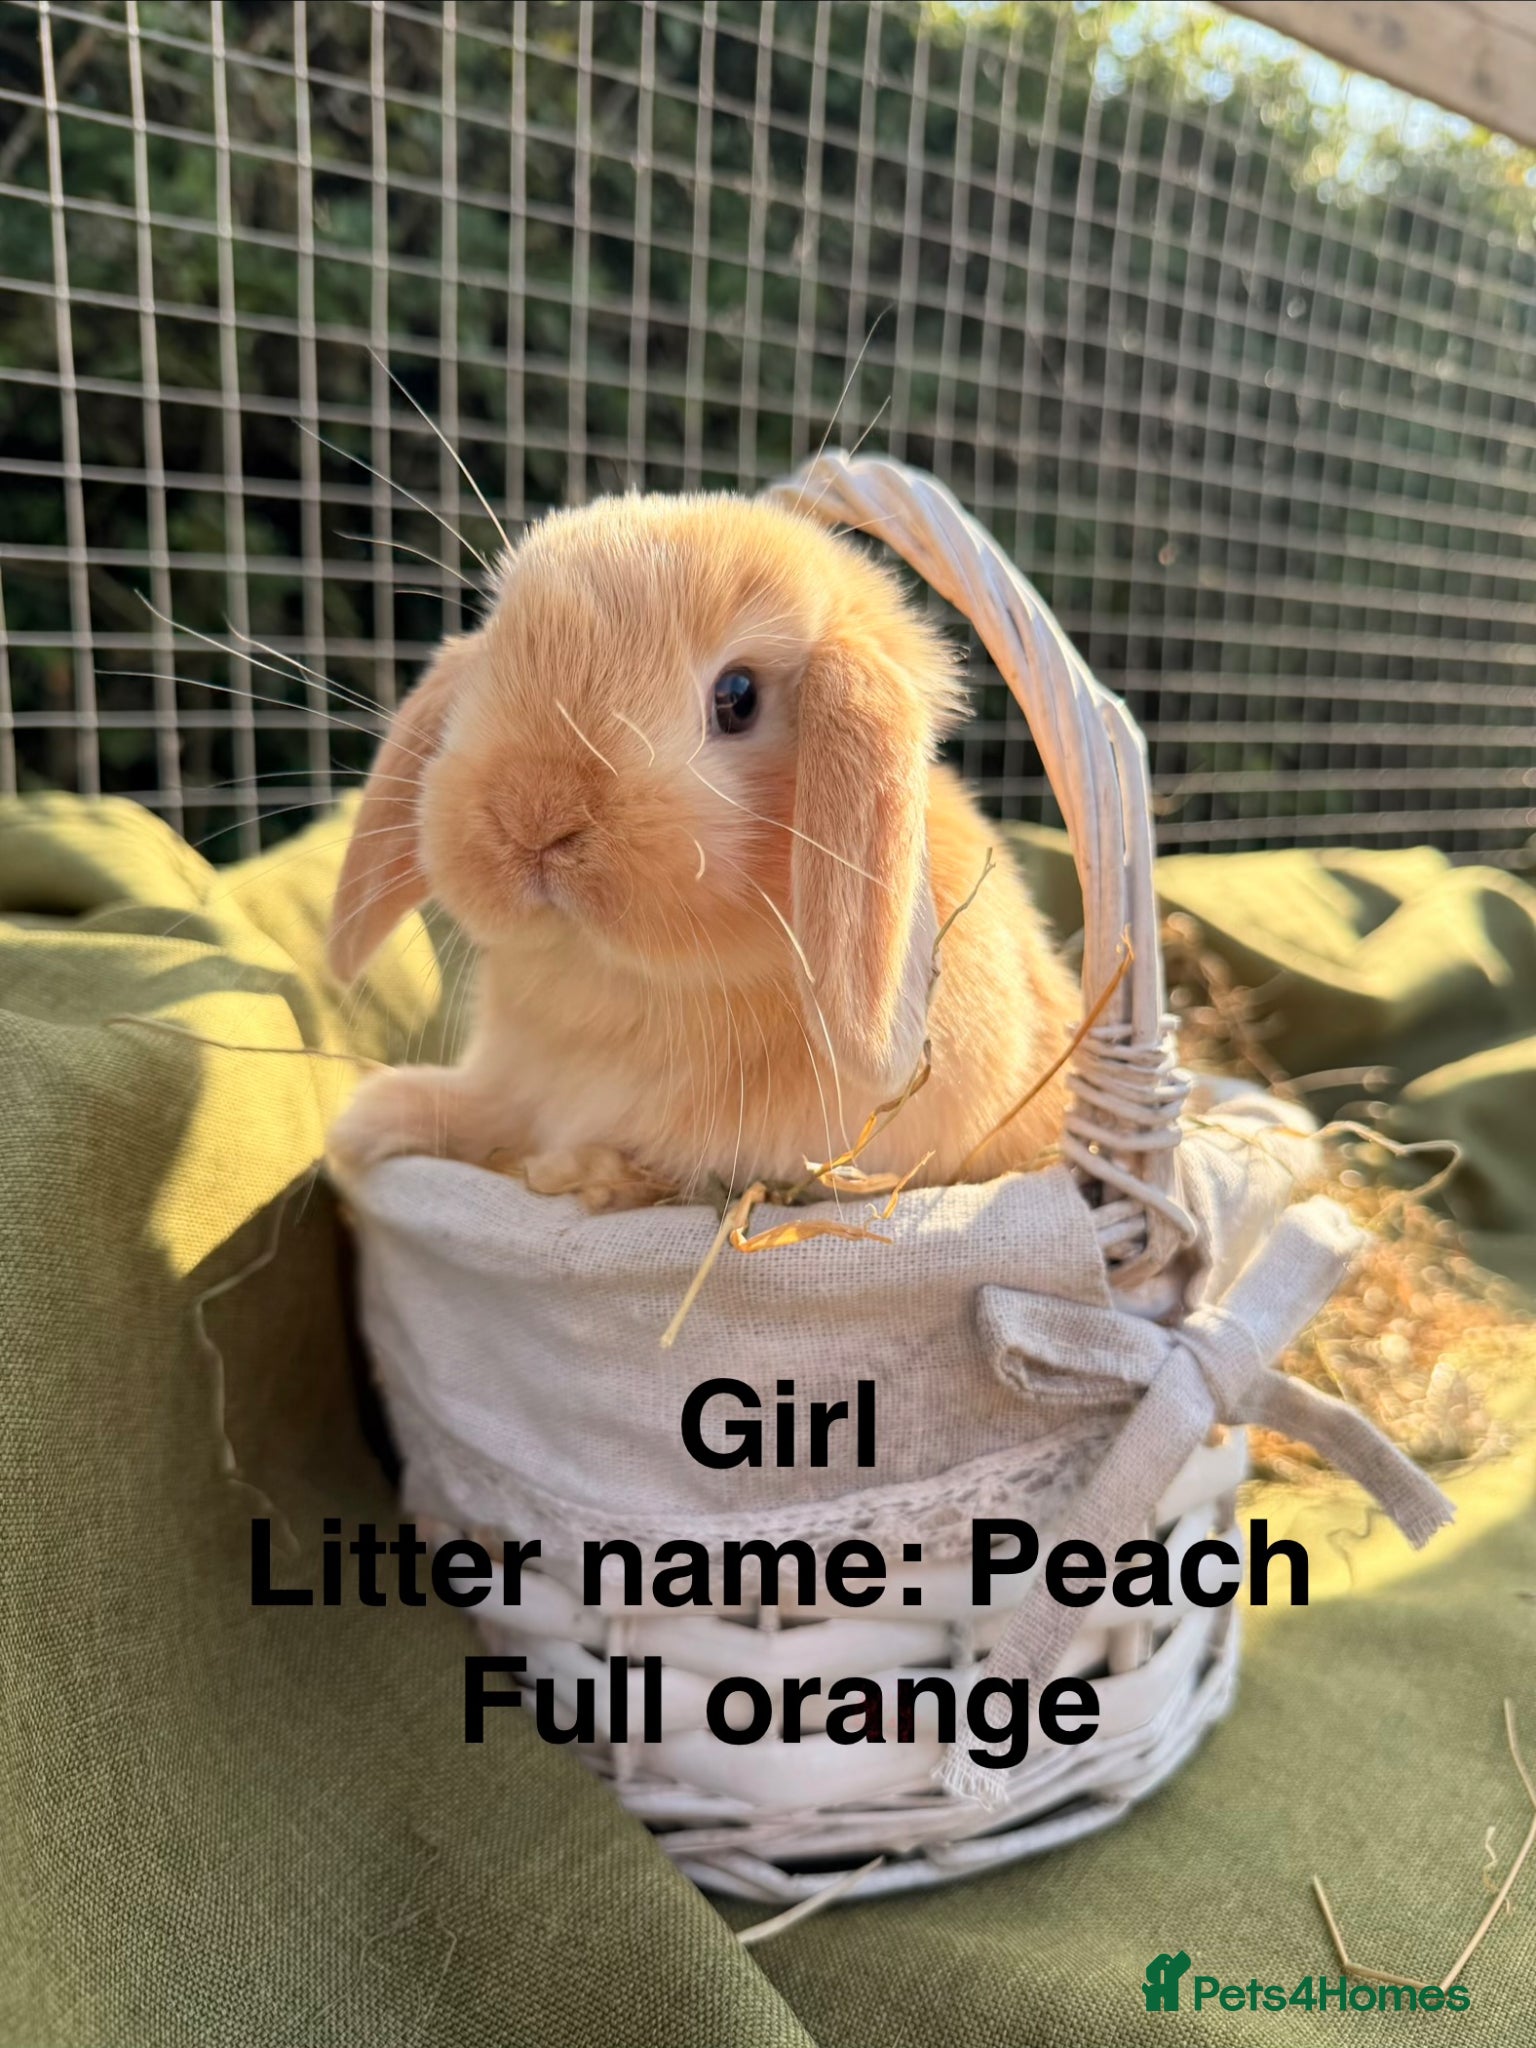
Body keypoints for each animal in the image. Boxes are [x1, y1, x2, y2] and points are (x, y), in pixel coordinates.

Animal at [325, 490, 1079, 1209]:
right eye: (493, 661)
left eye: (737, 696)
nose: (532, 815)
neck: (628, 986)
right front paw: (368, 1121)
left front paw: (577, 1173)